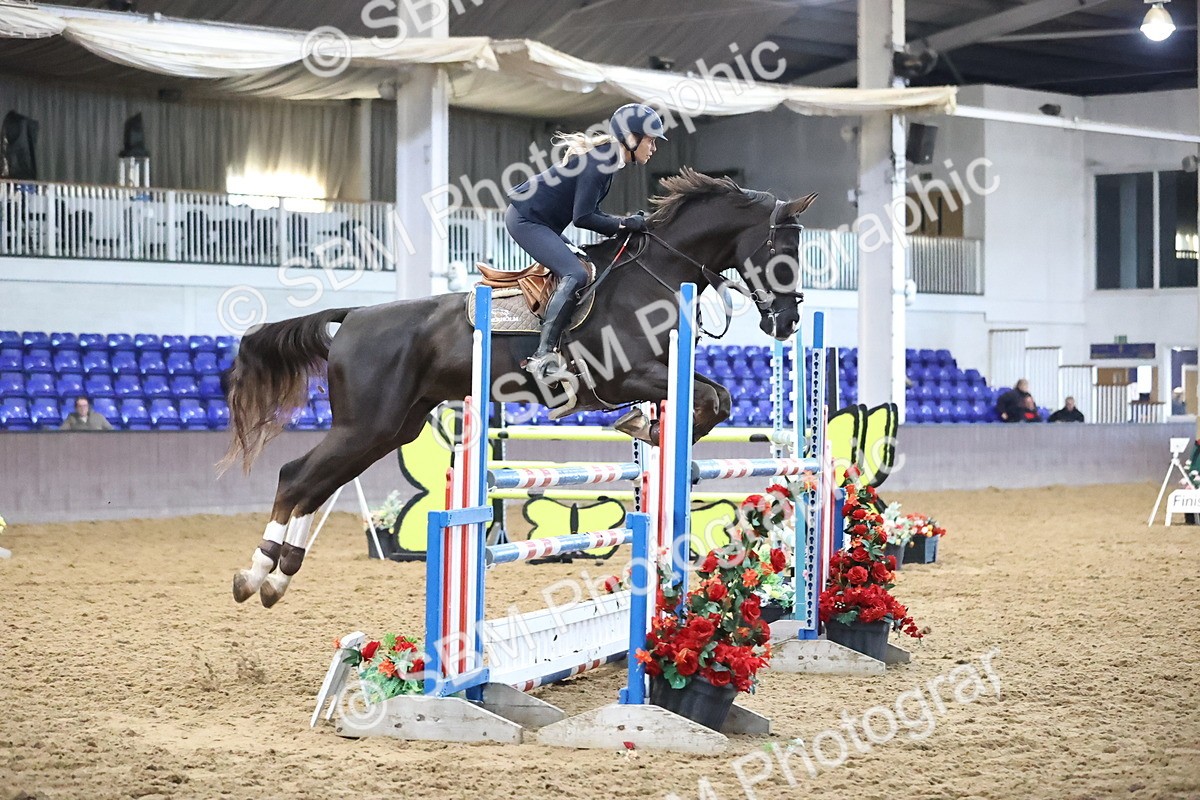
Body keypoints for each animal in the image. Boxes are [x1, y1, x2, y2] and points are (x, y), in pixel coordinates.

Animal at [222, 168, 816, 607]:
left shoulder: (665, 367)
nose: (787, 322)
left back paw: (277, 577)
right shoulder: (621, 374)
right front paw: (649, 430)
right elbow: (708, 399)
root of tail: (352, 316)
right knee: (295, 476)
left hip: (388, 428)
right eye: (782, 255)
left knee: (316, 484)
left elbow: (718, 397)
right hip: (363, 424)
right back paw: (254, 575)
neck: (658, 271)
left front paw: (660, 440)